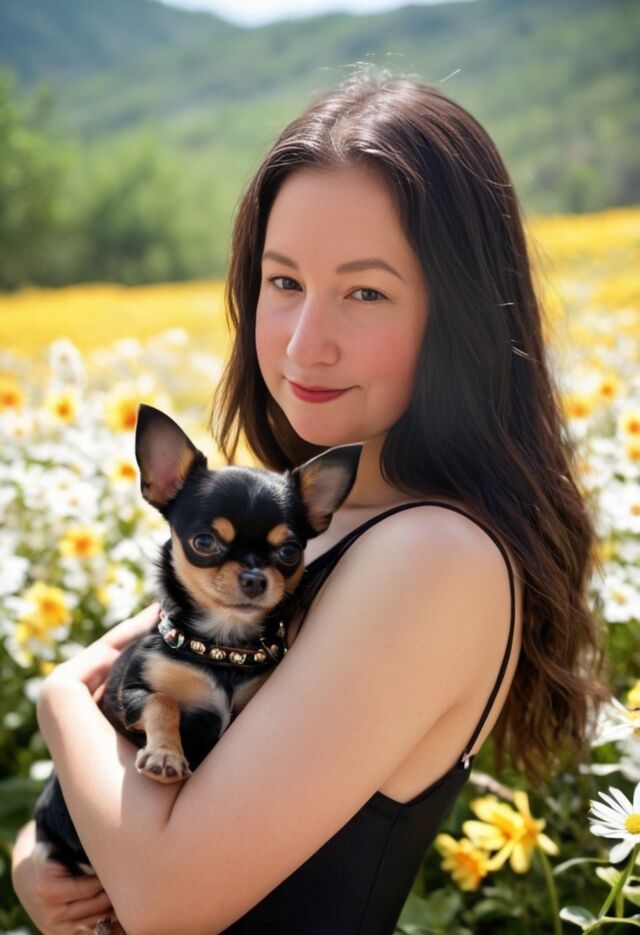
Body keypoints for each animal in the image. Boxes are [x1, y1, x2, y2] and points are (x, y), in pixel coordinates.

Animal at [32, 403, 361, 932]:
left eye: (289, 552)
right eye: (205, 542)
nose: (255, 577)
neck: (221, 645)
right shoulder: (129, 694)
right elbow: (165, 700)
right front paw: (165, 757)